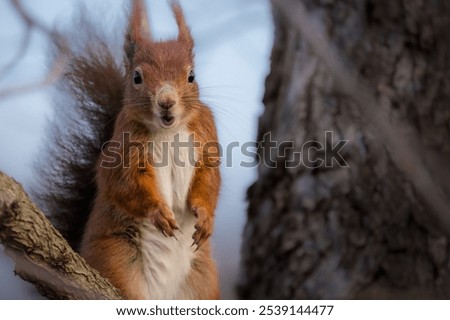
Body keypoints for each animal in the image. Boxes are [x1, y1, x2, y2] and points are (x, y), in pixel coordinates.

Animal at [33, 0, 220, 300]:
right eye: (136, 77)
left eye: (191, 75)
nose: (166, 101)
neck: (168, 130)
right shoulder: (124, 146)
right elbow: (123, 183)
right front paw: (158, 213)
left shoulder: (206, 135)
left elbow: (208, 179)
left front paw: (204, 218)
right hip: (117, 260)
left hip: (202, 283)